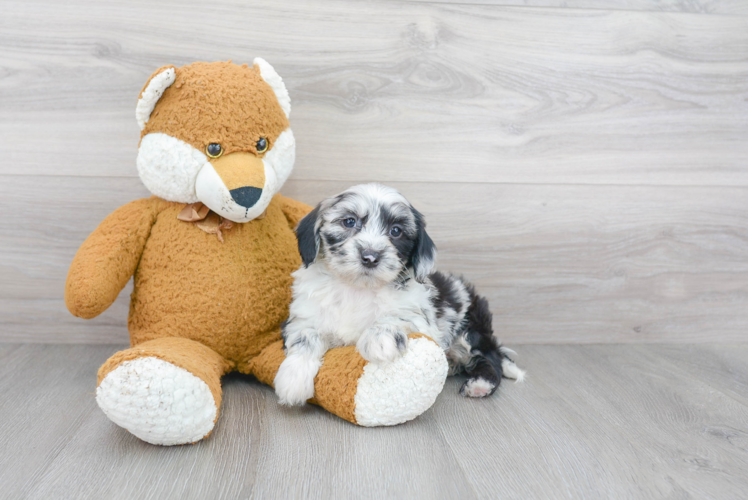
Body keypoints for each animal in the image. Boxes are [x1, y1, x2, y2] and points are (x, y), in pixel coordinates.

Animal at [272, 184, 524, 406]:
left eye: (396, 231)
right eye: (349, 221)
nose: (370, 256)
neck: (358, 288)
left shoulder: (422, 319)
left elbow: (397, 316)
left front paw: (380, 338)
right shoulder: (303, 316)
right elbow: (306, 337)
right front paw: (293, 378)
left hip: (468, 331)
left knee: (490, 359)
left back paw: (480, 384)